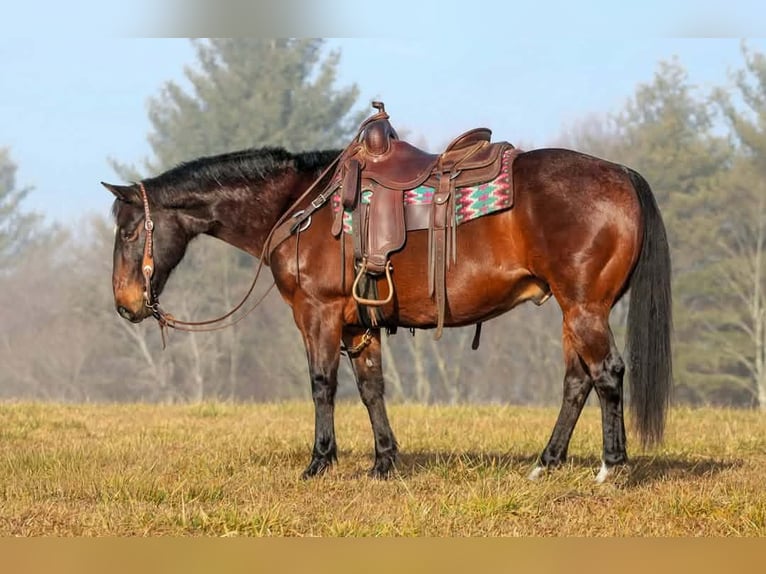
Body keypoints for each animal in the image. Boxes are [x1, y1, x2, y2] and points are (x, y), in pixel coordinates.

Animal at [104, 139, 672, 482]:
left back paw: (611, 468)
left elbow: (322, 385)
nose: (126, 305)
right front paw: (384, 461)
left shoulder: (318, 314)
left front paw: (319, 461)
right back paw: (545, 464)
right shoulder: (359, 323)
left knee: (607, 374)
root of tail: (621, 174)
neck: (300, 206)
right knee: (577, 382)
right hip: (572, 312)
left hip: (585, 309)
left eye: (129, 231)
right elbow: (371, 387)